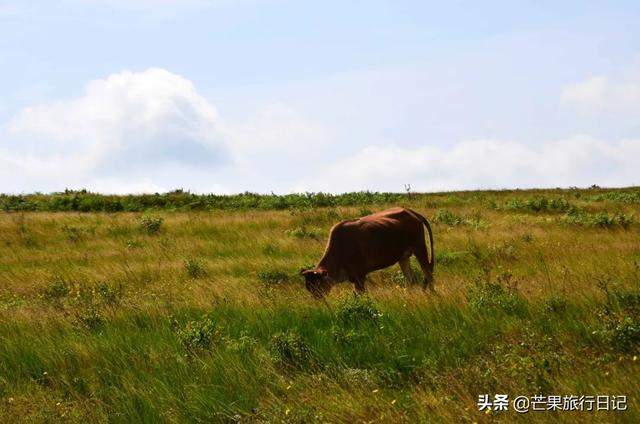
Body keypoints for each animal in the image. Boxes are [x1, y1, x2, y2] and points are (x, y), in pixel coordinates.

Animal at [302, 207, 436, 296]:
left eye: (319, 285)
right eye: (309, 288)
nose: (317, 297)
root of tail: (411, 212)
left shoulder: (360, 276)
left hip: (419, 248)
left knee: (428, 273)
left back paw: (432, 294)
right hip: (403, 257)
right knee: (410, 278)